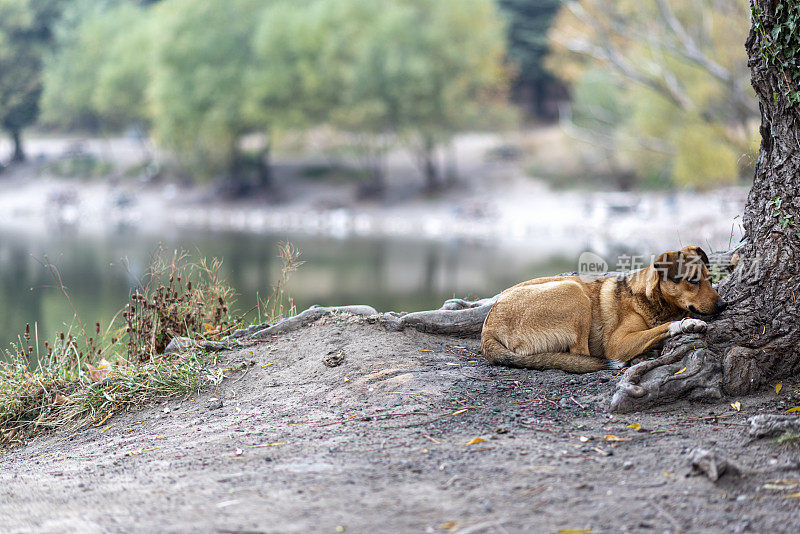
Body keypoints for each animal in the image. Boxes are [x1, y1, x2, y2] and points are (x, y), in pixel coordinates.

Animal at [478, 246, 728, 372]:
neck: (651, 300)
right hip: (574, 292)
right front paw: (687, 323)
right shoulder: (617, 343)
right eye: (693, 280)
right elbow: (664, 326)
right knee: (581, 354)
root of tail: (487, 331)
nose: (723, 305)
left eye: (710, 279)